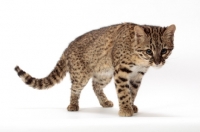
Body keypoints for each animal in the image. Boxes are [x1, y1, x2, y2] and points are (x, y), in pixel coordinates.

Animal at [14, 22, 176, 116]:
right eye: (149, 51)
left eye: (164, 51)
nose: (158, 62)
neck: (139, 60)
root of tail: (68, 47)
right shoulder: (121, 71)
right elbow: (124, 92)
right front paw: (125, 109)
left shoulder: (137, 75)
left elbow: (132, 92)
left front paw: (131, 105)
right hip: (80, 75)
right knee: (74, 88)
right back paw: (73, 105)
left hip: (104, 74)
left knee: (95, 85)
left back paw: (104, 102)